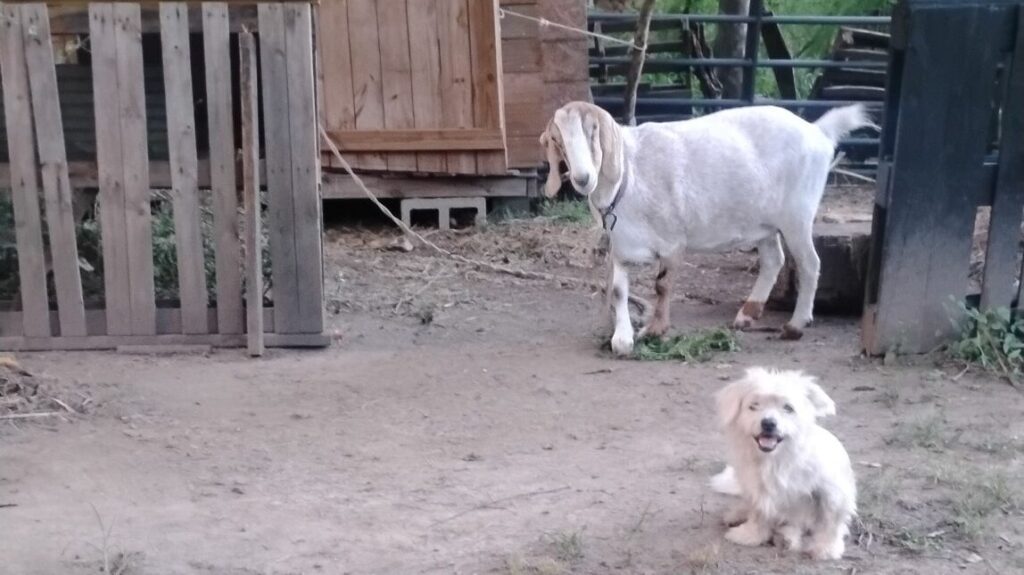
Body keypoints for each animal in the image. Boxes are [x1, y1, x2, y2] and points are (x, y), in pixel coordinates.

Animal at [539, 102, 873, 355]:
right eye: (557, 140)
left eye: (593, 131)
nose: (583, 178)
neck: (629, 173)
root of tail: (818, 131)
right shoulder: (621, 247)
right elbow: (620, 290)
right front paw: (622, 339)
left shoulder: (673, 241)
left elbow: (662, 285)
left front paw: (655, 330)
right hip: (763, 223)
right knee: (774, 260)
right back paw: (747, 315)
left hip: (797, 215)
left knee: (809, 264)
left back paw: (795, 325)